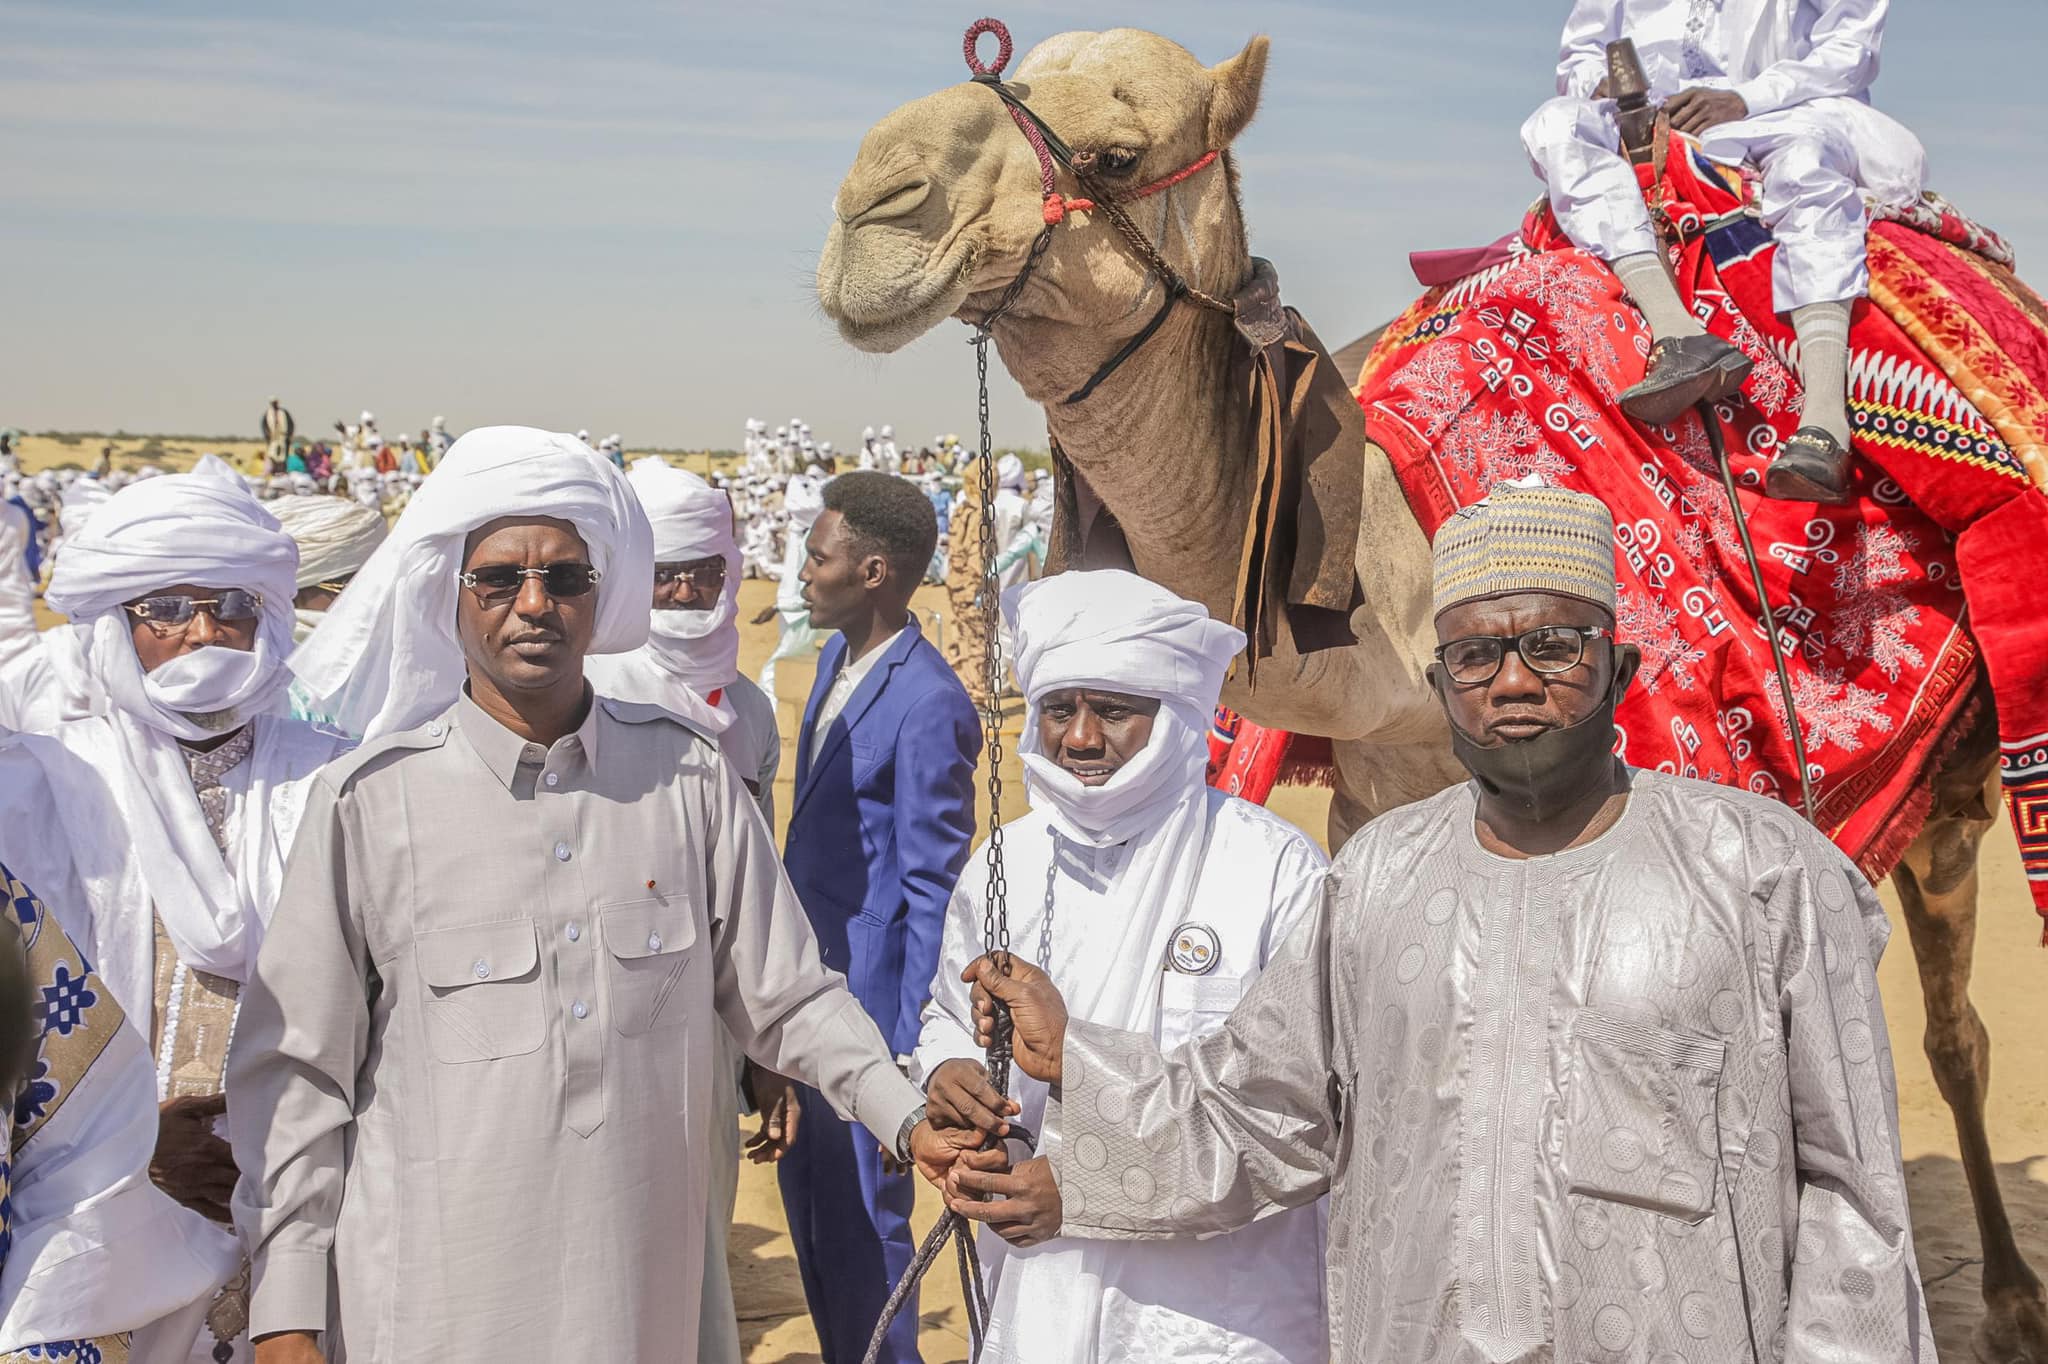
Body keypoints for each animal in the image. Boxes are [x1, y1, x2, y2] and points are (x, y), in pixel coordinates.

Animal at [815, 23, 2048, 1359]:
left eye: (1115, 153)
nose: (870, 205)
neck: (1390, 584)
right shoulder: (1369, 807)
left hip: (1960, 777)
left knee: (1950, 1035)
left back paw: (2008, 1298)